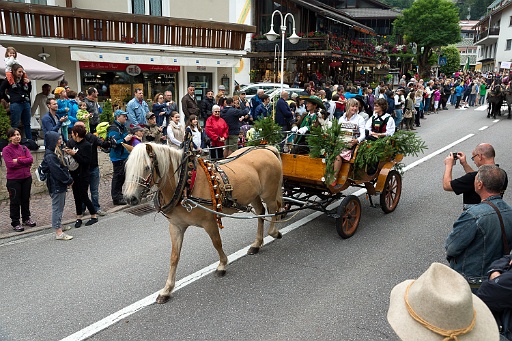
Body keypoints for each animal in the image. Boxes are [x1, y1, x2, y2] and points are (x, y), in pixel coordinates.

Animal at [124, 141, 284, 302]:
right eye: (127, 167)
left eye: (146, 167)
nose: (129, 198)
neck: (185, 185)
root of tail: (266, 148)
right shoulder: (176, 226)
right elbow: (174, 257)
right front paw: (167, 289)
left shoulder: (209, 222)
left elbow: (217, 243)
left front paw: (222, 265)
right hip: (254, 195)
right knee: (260, 213)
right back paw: (257, 244)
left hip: (268, 194)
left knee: (275, 210)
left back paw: (274, 232)